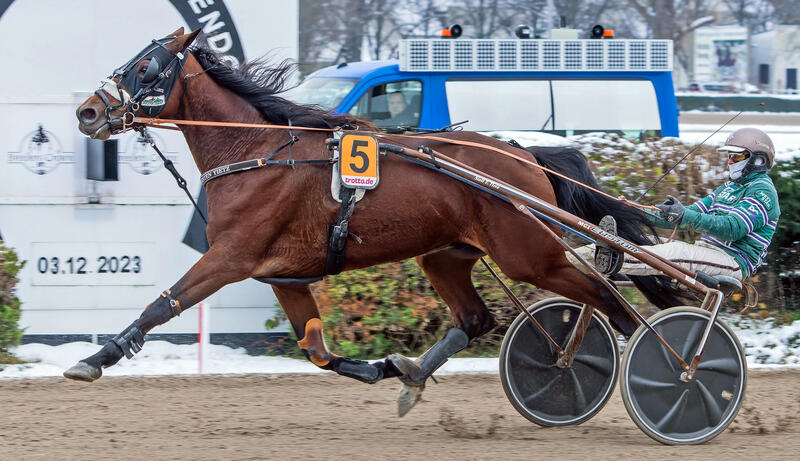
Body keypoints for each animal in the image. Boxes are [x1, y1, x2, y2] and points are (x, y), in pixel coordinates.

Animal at [70, 27, 680, 412]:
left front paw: (95, 359)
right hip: (446, 255)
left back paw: (665, 374)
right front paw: (385, 368)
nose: (88, 110)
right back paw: (417, 375)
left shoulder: (231, 257)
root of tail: (525, 154)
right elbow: (316, 352)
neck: (258, 152)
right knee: (477, 318)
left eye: (145, 66)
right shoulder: (283, 275)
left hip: (531, 254)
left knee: (613, 302)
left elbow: (161, 304)